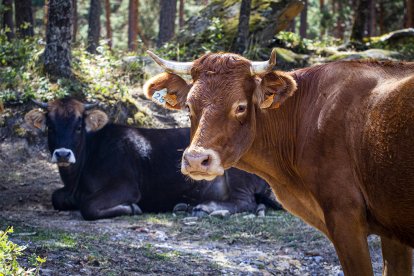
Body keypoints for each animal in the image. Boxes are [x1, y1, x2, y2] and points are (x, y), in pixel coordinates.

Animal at [24, 98, 280, 221]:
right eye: (50, 126)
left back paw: (209, 208)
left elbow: (89, 206)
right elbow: (56, 197)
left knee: (245, 202)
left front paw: (131, 208)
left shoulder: (126, 185)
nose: (63, 154)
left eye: (78, 126)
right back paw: (187, 206)